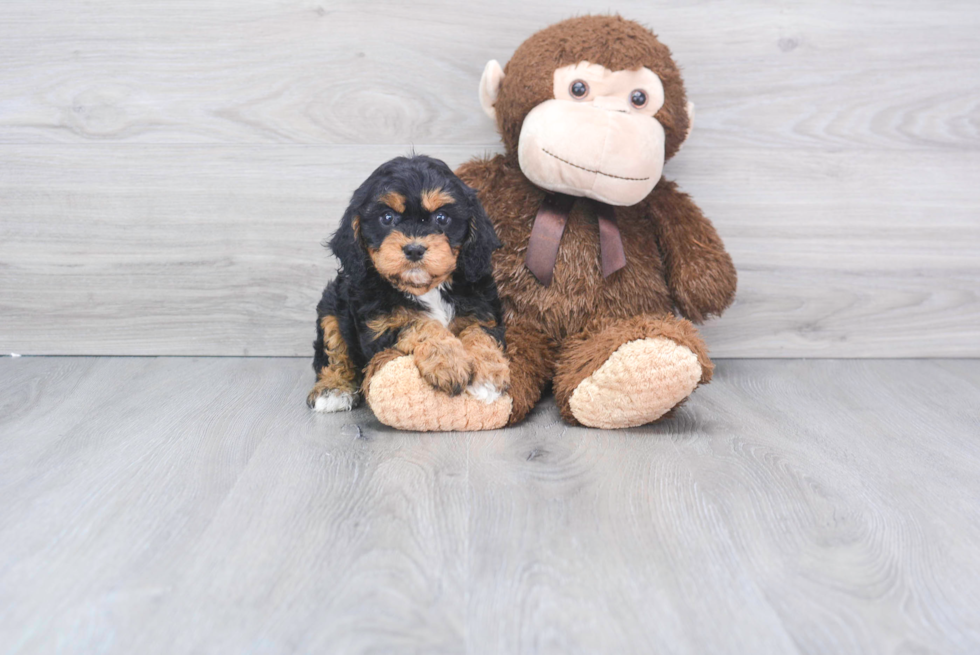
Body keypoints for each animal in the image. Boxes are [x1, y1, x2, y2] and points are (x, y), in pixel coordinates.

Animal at [306, 156, 510, 412]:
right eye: (387, 217)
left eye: (441, 218)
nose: (414, 249)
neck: (427, 289)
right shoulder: (379, 326)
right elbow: (419, 324)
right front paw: (449, 361)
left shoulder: (483, 312)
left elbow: (480, 333)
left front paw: (489, 377)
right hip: (331, 306)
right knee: (333, 350)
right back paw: (332, 389)